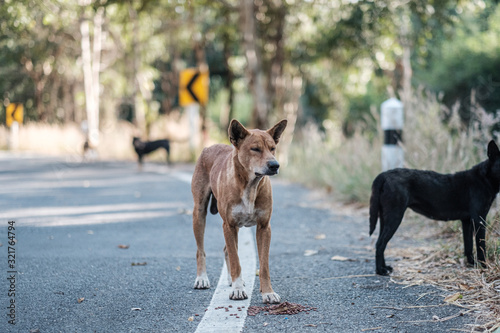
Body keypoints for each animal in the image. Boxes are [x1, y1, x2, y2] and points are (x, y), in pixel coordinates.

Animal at [190, 118, 286, 302]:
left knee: (227, 250)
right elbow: (236, 260)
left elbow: (264, 266)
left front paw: (268, 292)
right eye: (255, 149)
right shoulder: (229, 225)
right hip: (199, 212)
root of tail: (209, 147)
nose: (275, 165)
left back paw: (230, 279)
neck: (250, 185)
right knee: (201, 250)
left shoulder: (264, 227)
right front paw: (237, 290)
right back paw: (202, 278)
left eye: (272, 148)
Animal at [368, 139, 500, 274]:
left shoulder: (467, 221)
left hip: (384, 218)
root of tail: (384, 175)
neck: (485, 178)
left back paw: (385, 267)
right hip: (394, 217)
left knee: (381, 243)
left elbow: (468, 245)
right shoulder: (479, 219)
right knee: (380, 244)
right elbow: (480, 245)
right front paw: (483, 265)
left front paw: (472, 263)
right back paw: (380, 271)